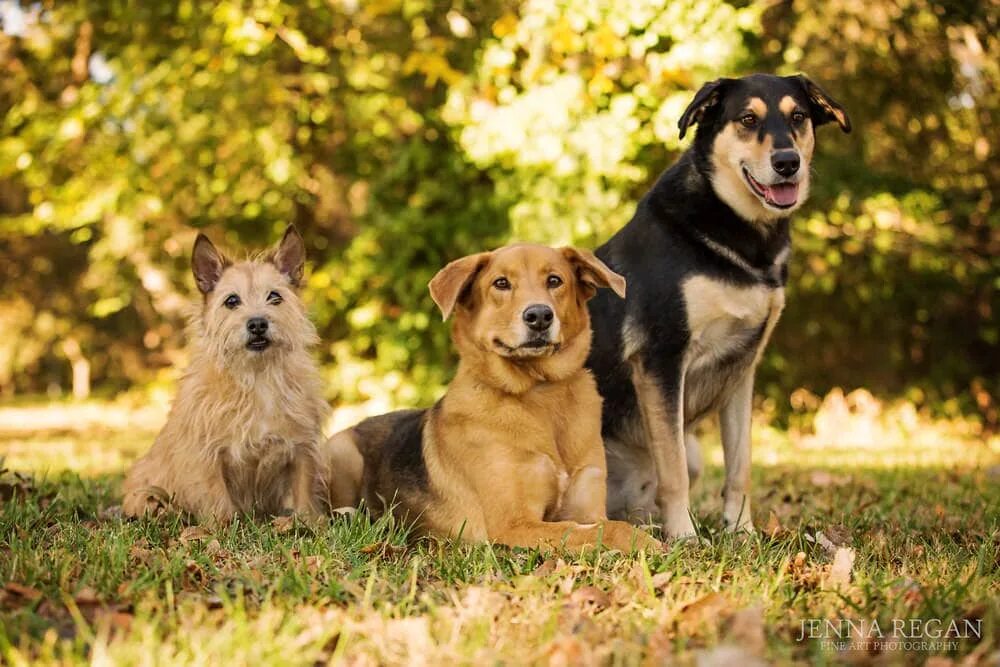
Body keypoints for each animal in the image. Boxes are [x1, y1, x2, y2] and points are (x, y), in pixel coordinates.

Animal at [119, 227, 326, 524]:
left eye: (275, 297)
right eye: (232, 301)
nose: (257, 324)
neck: (256, 375)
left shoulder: (301, 448)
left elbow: (304, 493)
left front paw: (310, 524)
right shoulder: (206, 455)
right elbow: (217, 498)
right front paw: (223, 527)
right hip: (146, 493)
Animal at [324, 245, 660, 552]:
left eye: (554, 280)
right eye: (501, 283)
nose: (539, 316)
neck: (540, 392)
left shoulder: (586, 508)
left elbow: (605, 524)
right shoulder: (514, 525)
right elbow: (603, 529)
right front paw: (648, 542)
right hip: (341, 453)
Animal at [584, 73, 852, 536]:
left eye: (798, 116)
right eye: (747, 119)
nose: (788, 162)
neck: (738, 232)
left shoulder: (742, 369)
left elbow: (739, 465)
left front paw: (741, 531)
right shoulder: (661, 358)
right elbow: (671, 470)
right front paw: (684, 537)